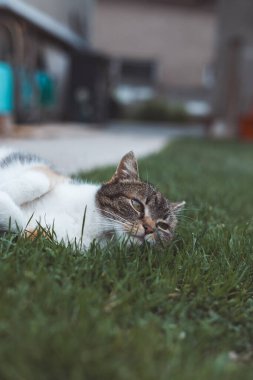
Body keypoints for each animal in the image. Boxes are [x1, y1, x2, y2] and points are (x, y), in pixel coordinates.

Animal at [0, 148, 186, 249]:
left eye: (163, 226)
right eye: (137, 204)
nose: (149, 229)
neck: (92, 223)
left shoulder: (38, 235)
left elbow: (16, 223)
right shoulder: (49, 173)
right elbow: (40, 181)